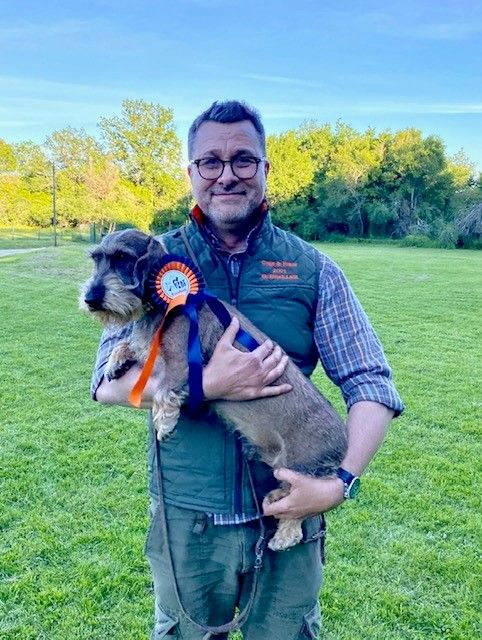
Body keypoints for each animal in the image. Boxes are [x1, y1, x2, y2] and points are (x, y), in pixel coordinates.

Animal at [82, 230, 346, 552]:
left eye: (123, 258)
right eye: (97, 258)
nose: (91, 298)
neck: (166, 305)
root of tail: (344, 444)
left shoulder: (179, 364)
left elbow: (165, 391)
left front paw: (164, 423)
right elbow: (126, 345)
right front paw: (114, 363)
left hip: (300, 475)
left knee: (299, 513)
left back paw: (284, 535)